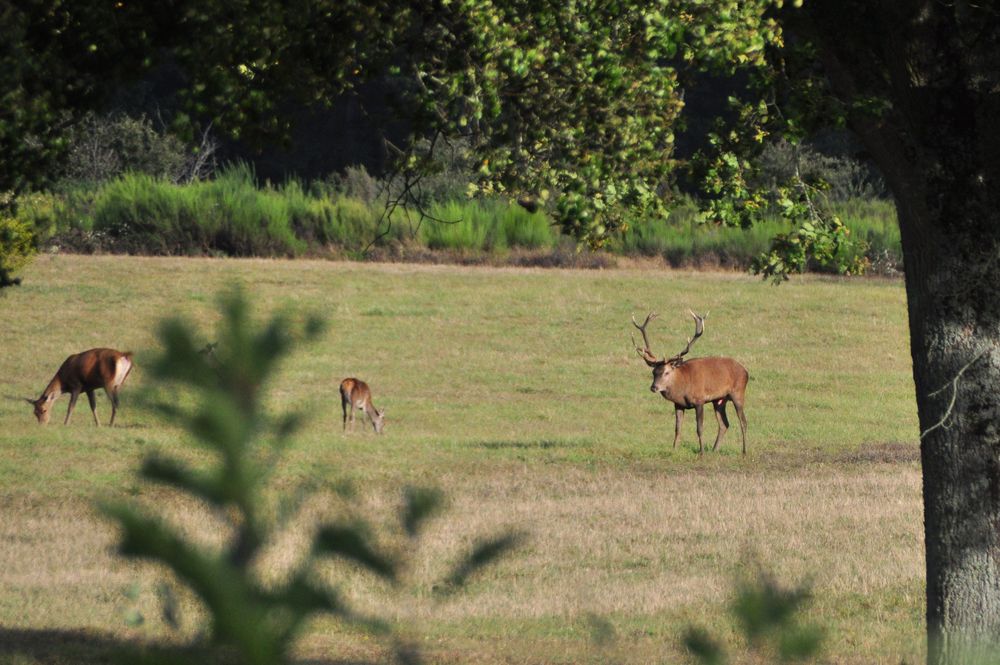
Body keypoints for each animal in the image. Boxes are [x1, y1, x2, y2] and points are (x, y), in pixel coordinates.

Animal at [628, 310, 748, 452]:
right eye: (653, 372)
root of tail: (746, 371)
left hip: (738, 392)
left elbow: (699, 428)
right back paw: (714, 450)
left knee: (743, 422)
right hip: (719, 400)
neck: (683, 387)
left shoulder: (699, 400)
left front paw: (701, 452)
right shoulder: (678, 404)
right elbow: (677, 429)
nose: (653, 387)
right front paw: (674, 449)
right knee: (724, 424)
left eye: (666, 372)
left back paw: (744, 451)